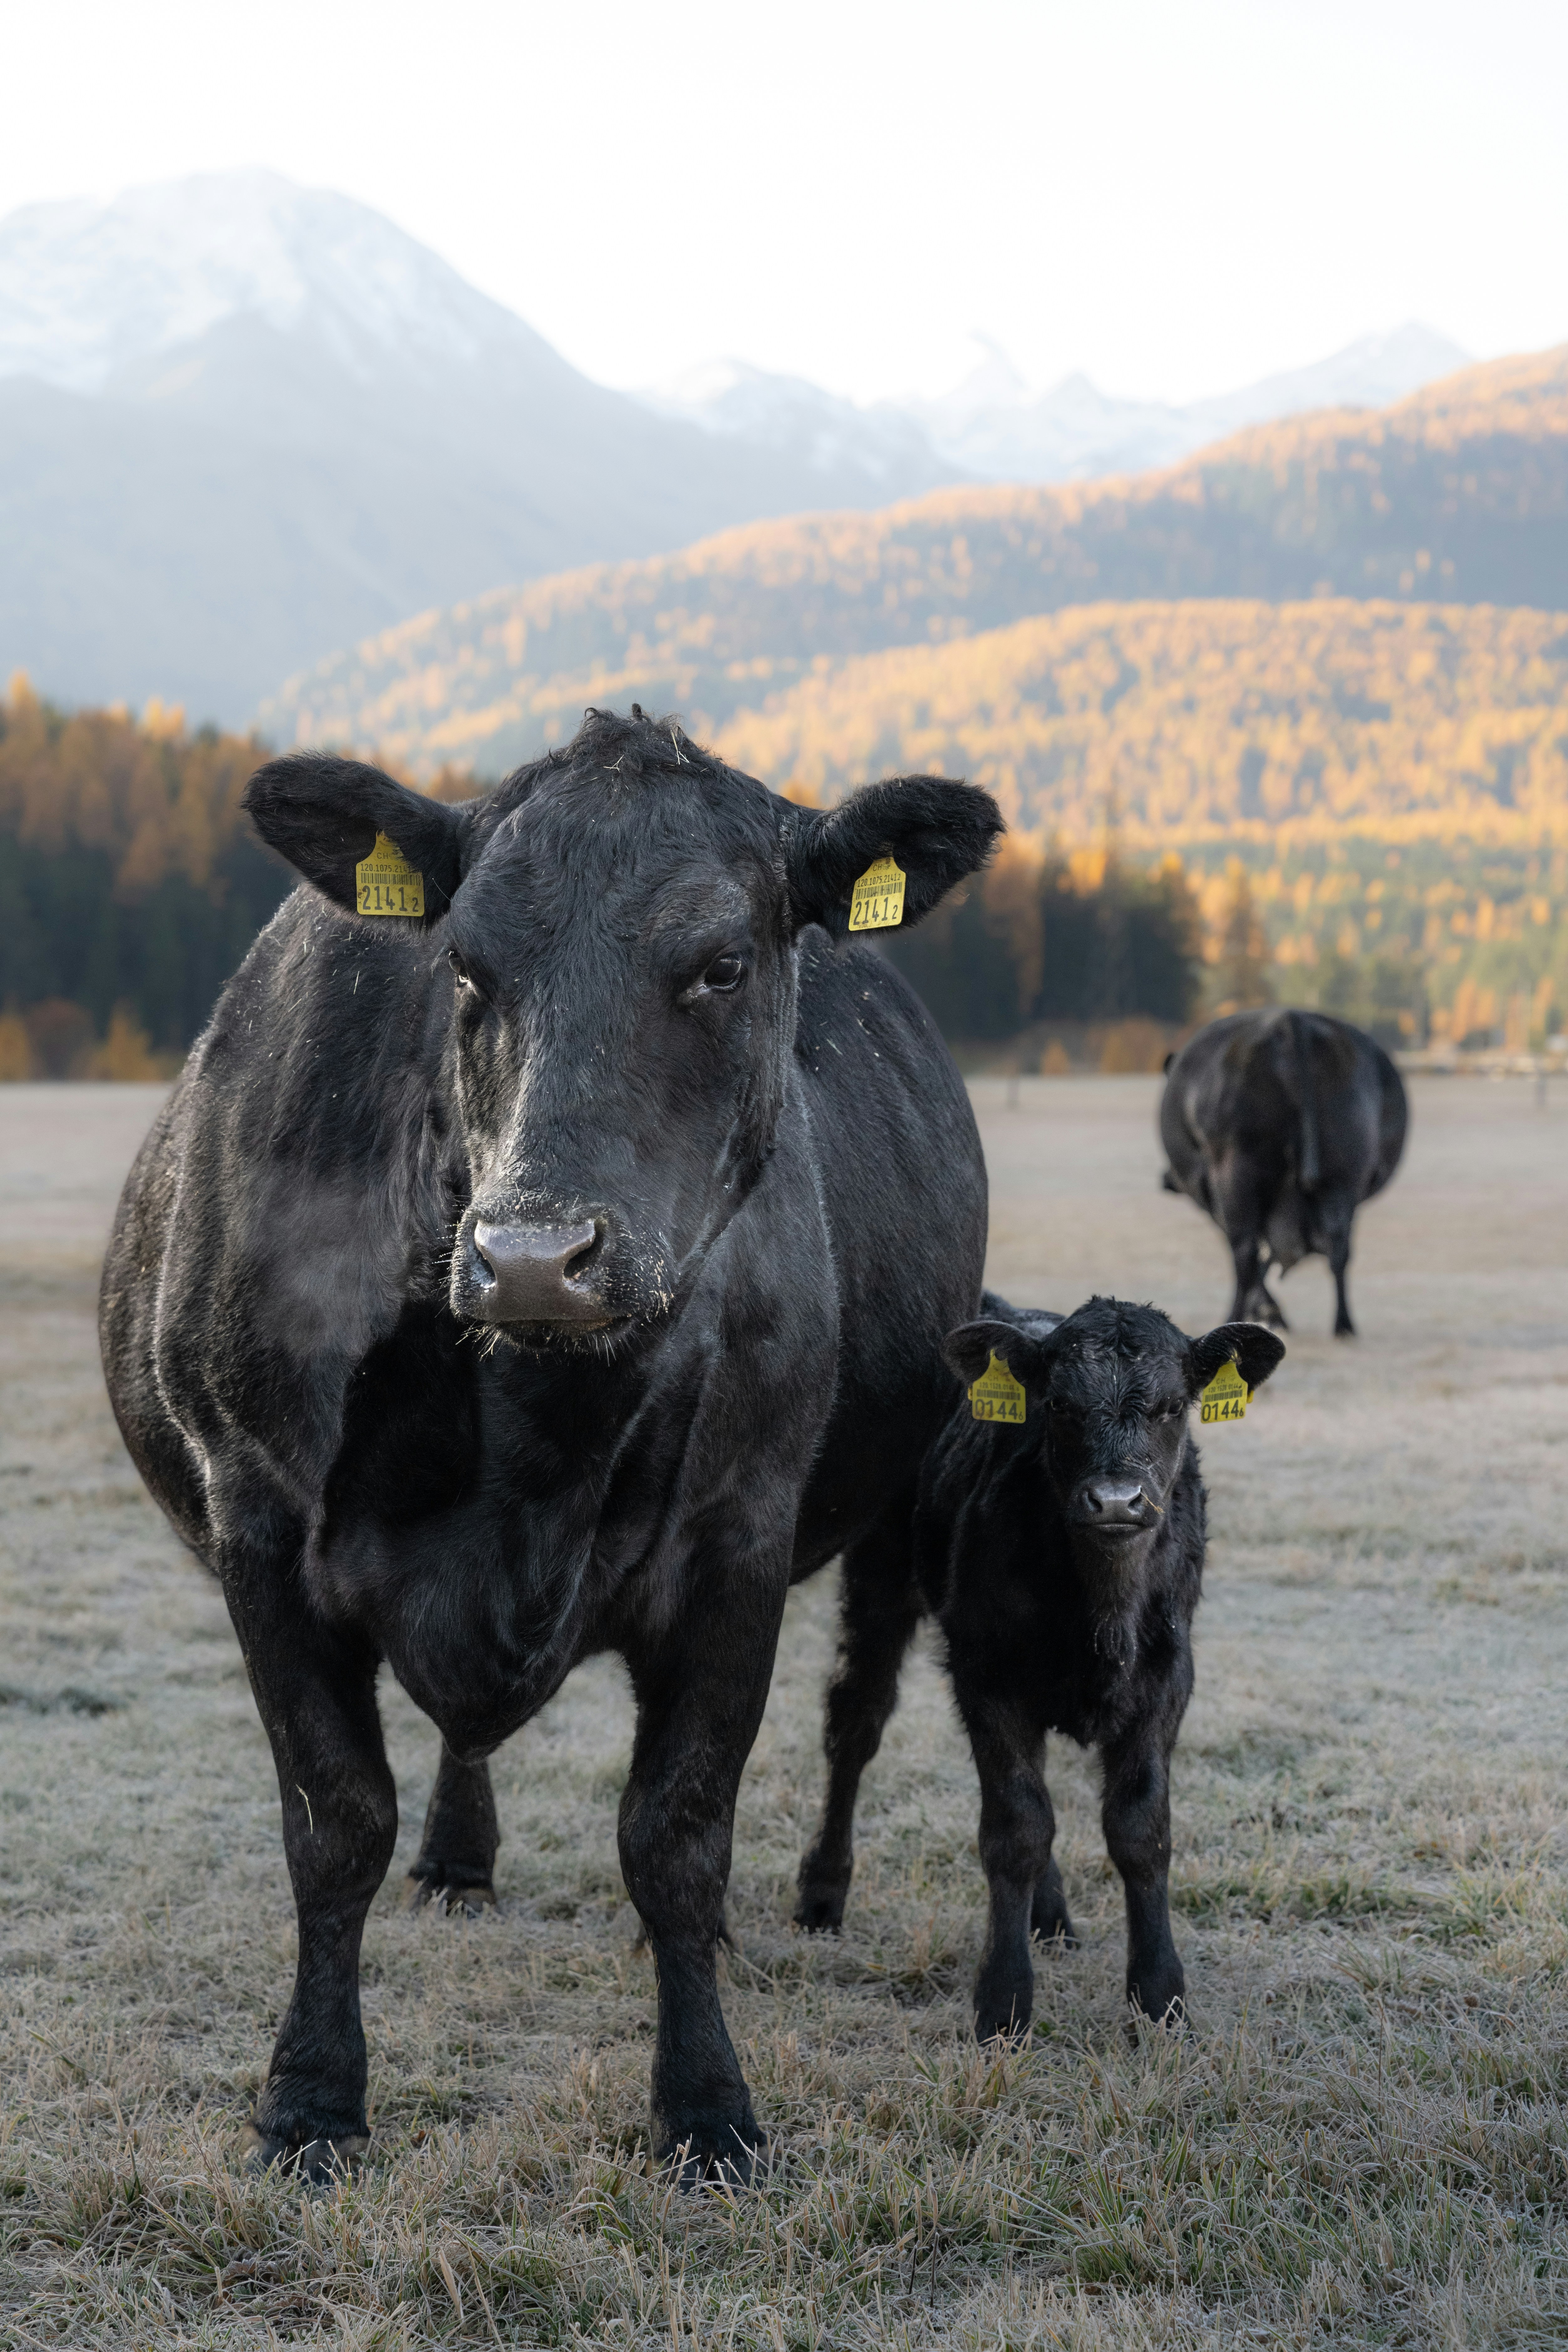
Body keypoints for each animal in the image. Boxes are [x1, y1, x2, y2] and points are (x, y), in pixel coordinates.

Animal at [99, 707, 1001, 2182]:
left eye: (722, 962)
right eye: (464, 965)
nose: (533, 1256)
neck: (532, 1427)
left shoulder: (739, 1534)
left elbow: (678, 1829)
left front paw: (707, 2103)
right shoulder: (262, 1523)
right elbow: (335, 1819)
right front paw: (311, 2097)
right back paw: (459, 1861)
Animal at [800, 1296, 1284, 2037]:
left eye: (1173, 1406)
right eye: (1058, 1404)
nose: (1116, 1500)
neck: (1102, 1613)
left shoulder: (1167, 1680)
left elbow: (1140, 1827)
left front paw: (1159, 1996)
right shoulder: (986, 1675)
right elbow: (1015, 1827)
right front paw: (1002, 2001)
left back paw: (1049, 1916)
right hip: (877, 1574)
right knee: (855, 1721)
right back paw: (823, 1891)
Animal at [1158, 1009, 1407, 1336]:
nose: (1166, 1179)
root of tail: (1289, 1020)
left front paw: (1269, 1314)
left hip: (1236, 1175)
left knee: (1245, 1253)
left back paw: (1231, 1317)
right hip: (1342, 1177)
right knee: (1339, 1249)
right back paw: (1343, 1325)